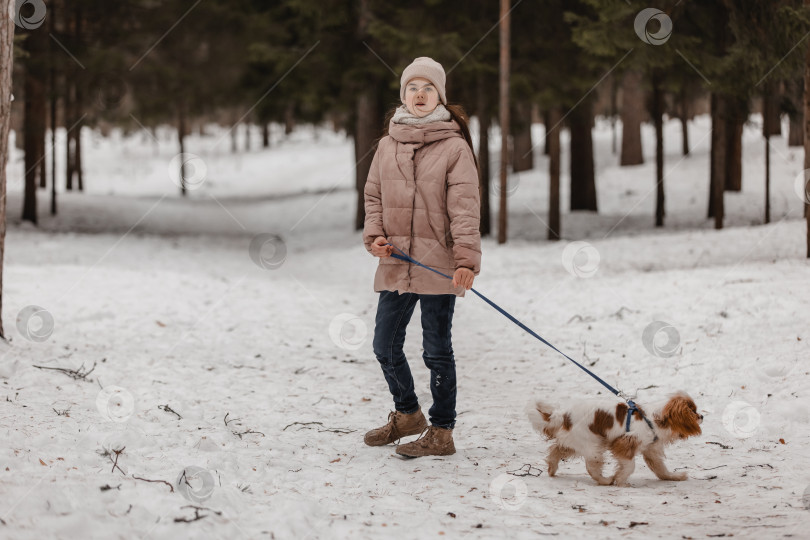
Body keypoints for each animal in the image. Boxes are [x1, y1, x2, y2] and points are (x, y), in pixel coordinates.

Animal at [524, 390, 700, 488]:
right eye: (693, 411)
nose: (702, 416)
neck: (652, 419)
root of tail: (563, 415)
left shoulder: (651, 451)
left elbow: (661, 469)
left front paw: (674, 477)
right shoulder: (625, 443)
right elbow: (630, 466)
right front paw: (621, 481)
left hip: (576, 443)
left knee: (555, 451)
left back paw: (552, 470)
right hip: (593, 445)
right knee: (592, 468)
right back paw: (606, 480)